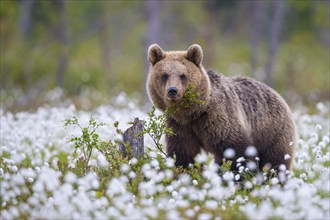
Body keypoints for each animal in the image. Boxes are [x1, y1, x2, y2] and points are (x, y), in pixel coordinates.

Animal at [146, 43, 296, 173]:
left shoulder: (217, 118)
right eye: (164, 75)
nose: (172, 90)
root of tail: (277, 93)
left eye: (183, 75)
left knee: (275, 161)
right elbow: (183, 154)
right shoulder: (180, 126)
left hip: (273, 131)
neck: (192, 113)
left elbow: (236, 151)